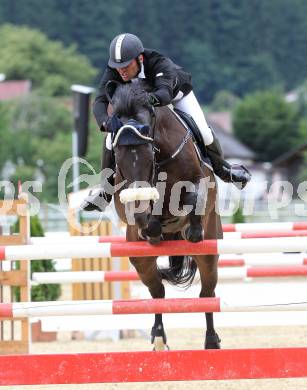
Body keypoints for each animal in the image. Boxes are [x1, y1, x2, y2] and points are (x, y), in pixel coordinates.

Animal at [109, 80, 224, 350]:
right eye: (118, 156)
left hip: (209, 251)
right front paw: (151, 229)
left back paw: (211, 341)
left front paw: (191, 230)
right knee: (158, 293)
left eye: (148, 153)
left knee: (207, 294)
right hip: (139, 260)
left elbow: (193, 199)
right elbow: (143, 218)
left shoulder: (199, 180)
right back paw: (158, 337)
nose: (140, 200)